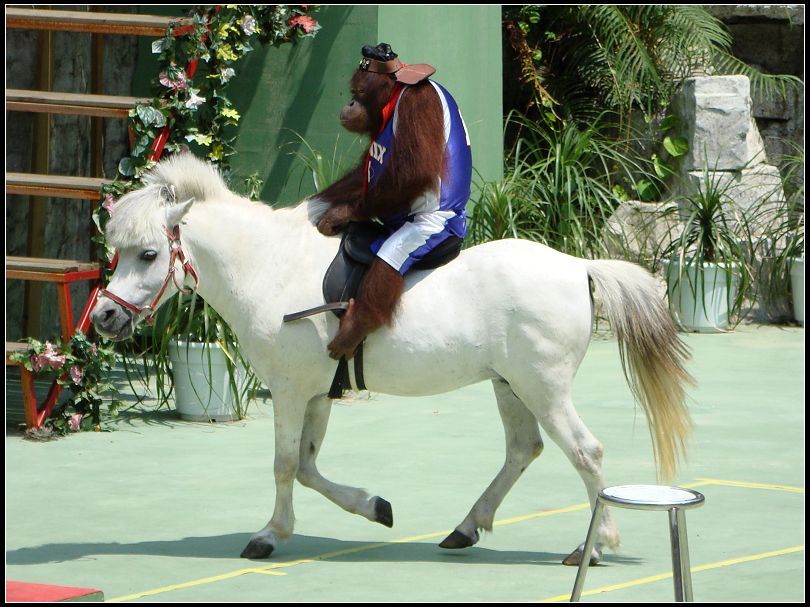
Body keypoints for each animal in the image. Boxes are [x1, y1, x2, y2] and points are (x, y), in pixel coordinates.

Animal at [91, 153, 694, 565]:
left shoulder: (290, 391)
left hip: (543, 388)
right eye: (117, 252)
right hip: (510, 386)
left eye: (149, 254)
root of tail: (577, 266)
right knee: (524, 450)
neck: (268, 266)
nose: (104, 317)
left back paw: (596, 544)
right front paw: (373, 506)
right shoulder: (316, 395)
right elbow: (307, 467)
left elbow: (285, 465)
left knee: (585, 452)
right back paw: (467, 527)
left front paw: (269, 535)